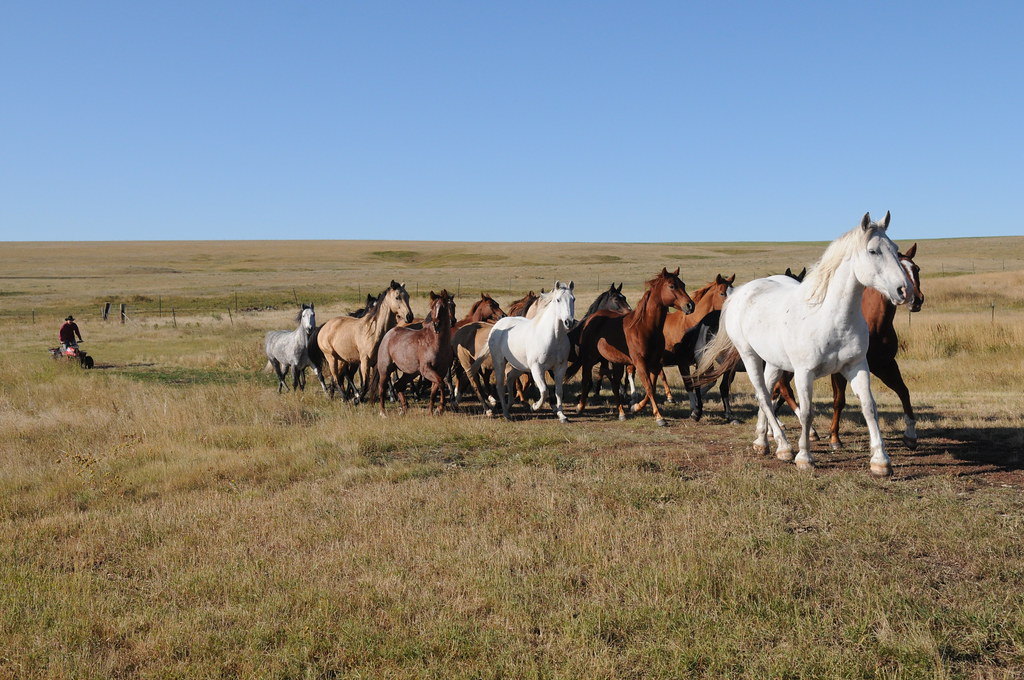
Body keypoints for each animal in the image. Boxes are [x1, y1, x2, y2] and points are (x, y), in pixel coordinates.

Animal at [474, 281, 576, 422]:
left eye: (573, 299)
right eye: (558, 299)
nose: (569, 322)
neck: (553, 337)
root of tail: (497, 325)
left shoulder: (560, 367)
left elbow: (558, 391)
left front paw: (562, 415)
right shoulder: (537, 368)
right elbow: (544, 391)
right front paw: (534, 407)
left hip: (520, 366)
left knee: (510, 377)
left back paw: (510, 404)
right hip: (500, 362)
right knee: (500, 386)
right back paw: (506, 413)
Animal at [573, 268, 696, 426]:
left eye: (683, 285)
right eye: (672, 286)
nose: (690, 305)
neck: (645, 327)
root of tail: (591, 318)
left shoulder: (654, 364)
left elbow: (652, 388)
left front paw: (635, 407)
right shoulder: (640, 363)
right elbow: (649, 387)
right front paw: (659, 418)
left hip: (616, 362)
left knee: (615, 385)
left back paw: (621, 413)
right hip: (590, 358)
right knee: (586, 379)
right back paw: (580, 406)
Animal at [695, 212, 911, 476]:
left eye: (895, 249)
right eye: (873, 251)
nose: (904, 291)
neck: (831, 317)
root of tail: (740, 293)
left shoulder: (857, 366)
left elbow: (869, 407)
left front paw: (881, 461)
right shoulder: (804, 373)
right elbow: (807, 412)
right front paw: (804, 457)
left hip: (774, 362)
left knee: (767, 392)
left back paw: (763, 442)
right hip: (749, 356)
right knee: (763, 396)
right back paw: (784, 447)